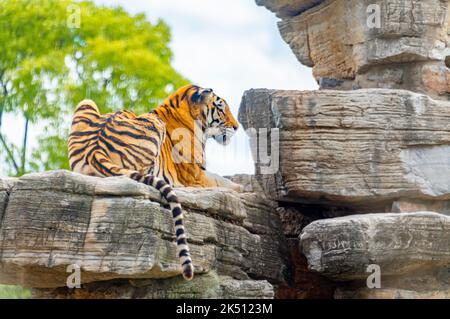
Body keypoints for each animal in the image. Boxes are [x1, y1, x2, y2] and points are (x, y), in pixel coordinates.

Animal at [68, 84, 241, 282]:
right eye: (221, 108)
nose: (236, 127)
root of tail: (94, 149)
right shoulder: (196, 175)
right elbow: (223, 181)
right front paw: (242, 189)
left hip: (86, 102)